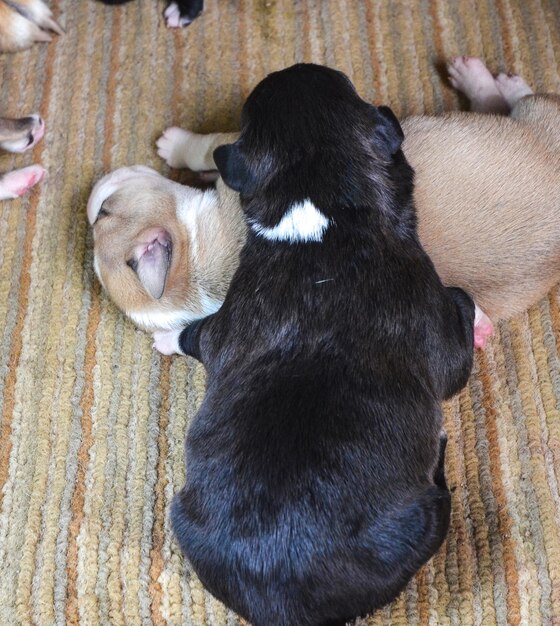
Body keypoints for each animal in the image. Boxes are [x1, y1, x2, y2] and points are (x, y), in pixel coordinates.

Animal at [160, 62, 474, 624]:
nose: (296, 65)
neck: (322, 215)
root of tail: (284, 602)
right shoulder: (439, 328)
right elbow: (460, 314)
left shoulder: (226, 323)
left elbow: (198, 332)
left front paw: (166, 335)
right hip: (425, 518)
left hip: (183, 514)